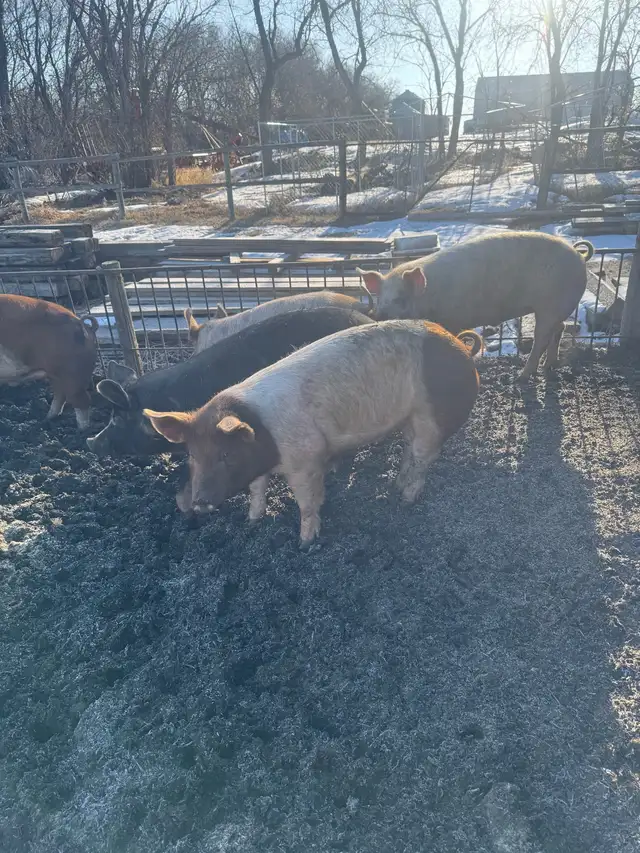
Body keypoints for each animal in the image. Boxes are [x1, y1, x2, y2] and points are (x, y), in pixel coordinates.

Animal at [0, 294, 98, 429]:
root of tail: (81, 324)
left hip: (71, 373)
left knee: (81, 399)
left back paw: (83, 430)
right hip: (58, 374)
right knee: (60, 395)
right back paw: (47, 419)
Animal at [144, 320, 482, 548]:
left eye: (225, 454)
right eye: (192, 454)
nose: (199, 502)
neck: (265, 437)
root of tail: (461, 345)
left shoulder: (306, 457)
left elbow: (307, 503)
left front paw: (305, 544)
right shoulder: (261, 467)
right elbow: (257, 490)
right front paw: (251, 522)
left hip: (432, 417)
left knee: (425, 458)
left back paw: (406, 500)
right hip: (411, 417)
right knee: (410, 449)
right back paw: (397, 486)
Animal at [356, 232, 594, 380]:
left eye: (400, 299)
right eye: (380, 297)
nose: (379, 314)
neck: (428, 297)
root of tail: (579, 256)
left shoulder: (451, 318)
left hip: (549, 306)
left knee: (541, 339)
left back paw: (522, 377)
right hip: (559, 308)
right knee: (559, 329)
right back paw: (549, 366)